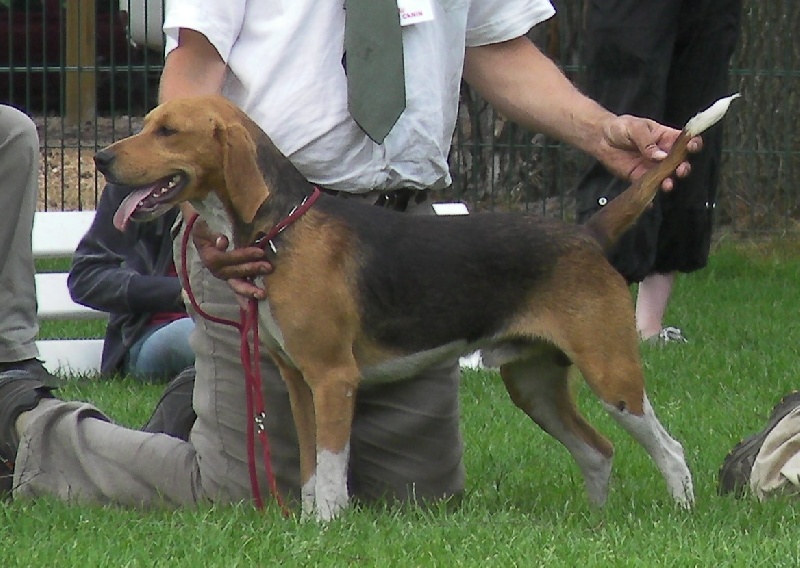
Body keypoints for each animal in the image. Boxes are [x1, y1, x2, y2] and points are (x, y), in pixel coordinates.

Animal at [94, 95, 732, 520]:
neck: (284, 227)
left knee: (669, 449)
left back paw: (681, 511)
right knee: (598, 452)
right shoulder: (299, 382)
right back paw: (597, 523)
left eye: (168, 131)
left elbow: (331, 467)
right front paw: (308, 523)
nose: (100, 158)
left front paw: (327, 529)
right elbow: (311, 467)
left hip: (612, 372)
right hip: (534, 386)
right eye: (146, 123)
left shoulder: (333, 378)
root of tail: (588, 234)